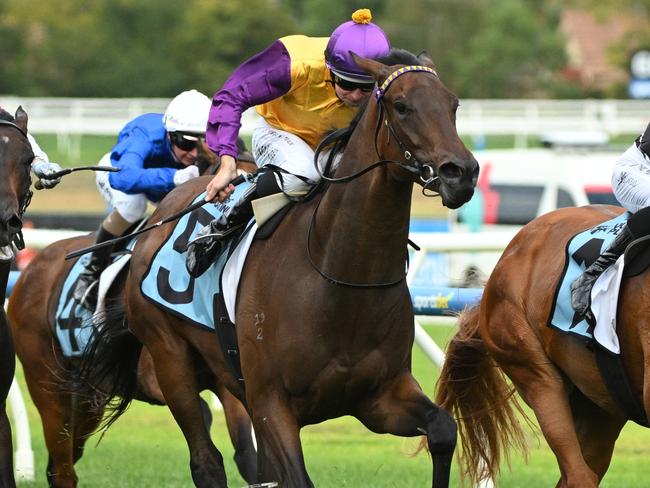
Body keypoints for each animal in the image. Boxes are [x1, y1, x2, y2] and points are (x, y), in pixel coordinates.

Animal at [6, 150, 258, 488]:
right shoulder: (159, 373)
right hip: (47, 386)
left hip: (87, 399)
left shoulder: (224, 380)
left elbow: (246, 451)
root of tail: (29, 271)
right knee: (62, 466)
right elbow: (203, 415)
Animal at [79, 50, 476, 488]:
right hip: (171, 359)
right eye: (402, 106)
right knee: (206, 460)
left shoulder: (380, 397)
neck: (340, 278)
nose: (462, 172)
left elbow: (442, 429)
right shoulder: (272, 402)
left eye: (453, 105)